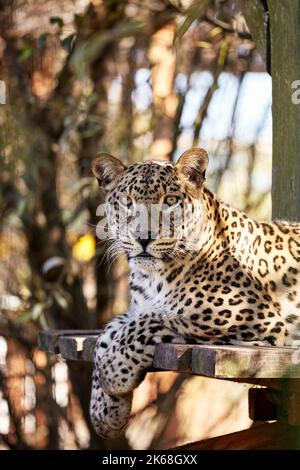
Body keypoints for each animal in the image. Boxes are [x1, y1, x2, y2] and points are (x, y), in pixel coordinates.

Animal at [89, 147, 300, 436]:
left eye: (170, 200)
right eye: (127, 202)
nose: (143, 237)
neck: (152, 277)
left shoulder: (252, 317)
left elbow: (150, 322)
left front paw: (112, 373)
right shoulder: (136, 308)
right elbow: (107, 333)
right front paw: (105, 412)